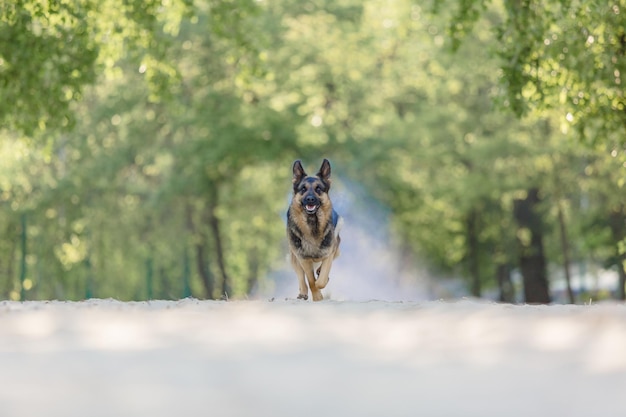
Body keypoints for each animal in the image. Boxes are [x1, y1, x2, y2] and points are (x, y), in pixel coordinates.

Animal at [286, 158, 342, 300]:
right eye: (303, 189)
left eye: (318, 189)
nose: (310, 199)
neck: (312, 224)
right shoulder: (303, 258)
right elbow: (310, 280)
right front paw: (317, 296)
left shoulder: (329, 252)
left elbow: (320, 281)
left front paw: (321, 283)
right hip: (294, 257)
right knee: (301, 277)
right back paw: (303, 292)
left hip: (336, 248)